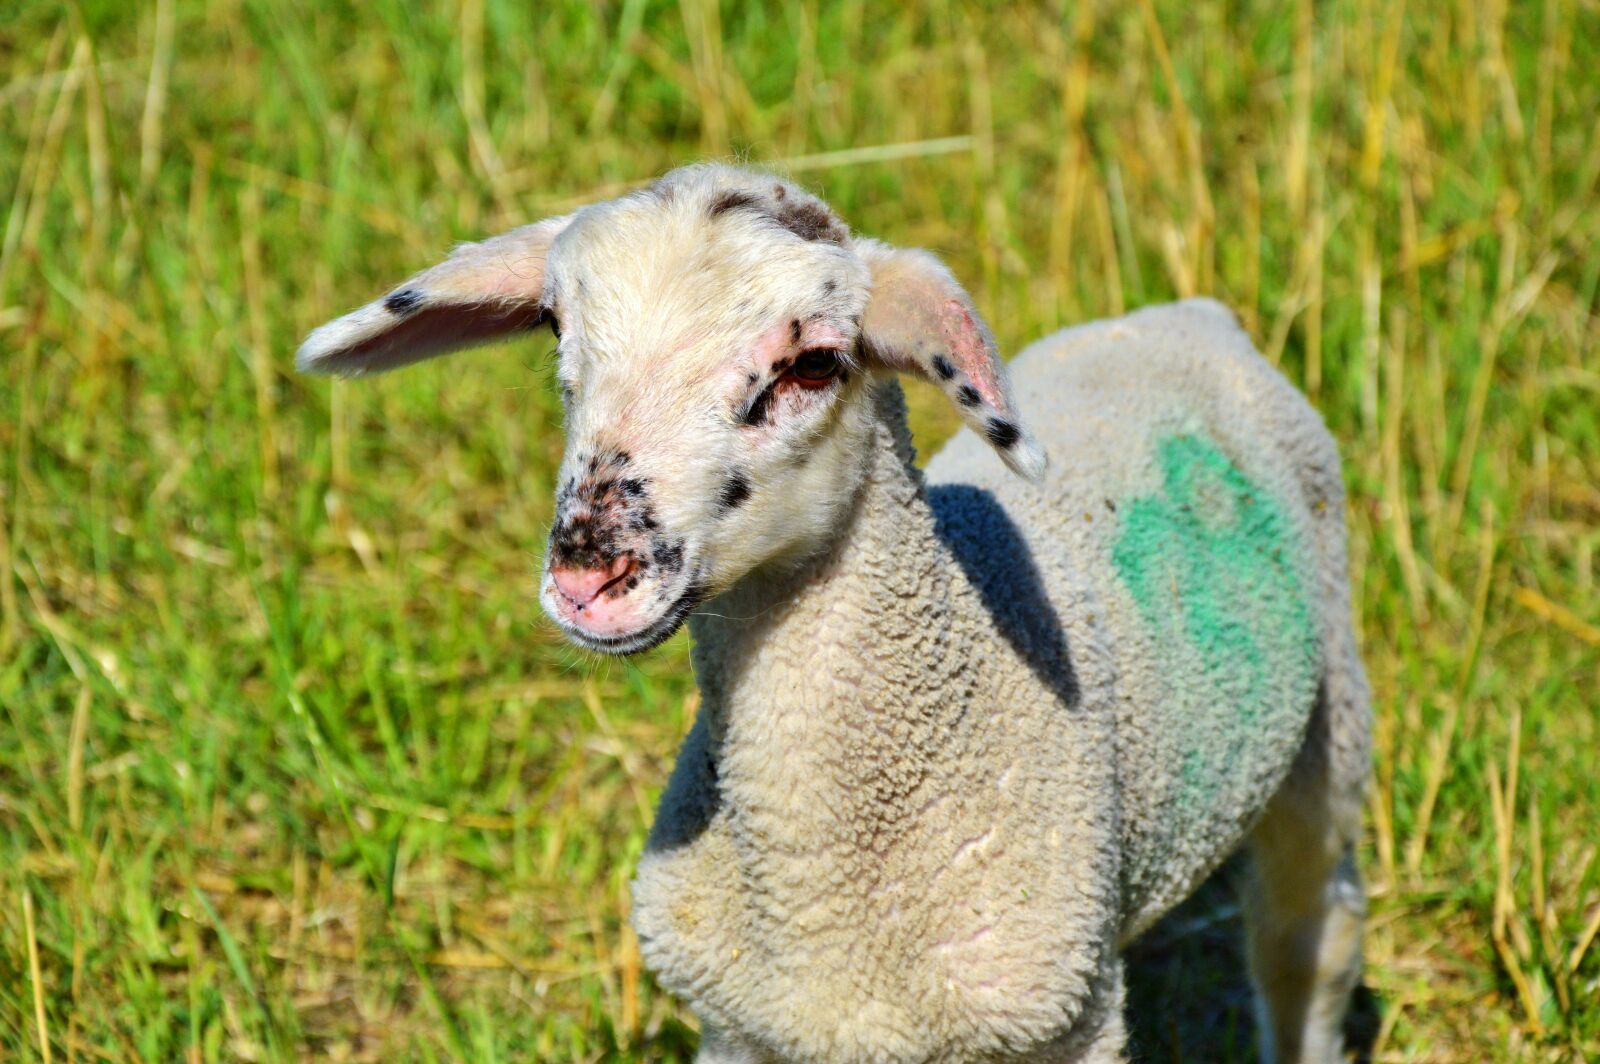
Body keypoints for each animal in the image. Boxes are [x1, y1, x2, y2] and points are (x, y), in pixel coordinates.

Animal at [297, 163, 1371, 1064]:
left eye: (813, 364)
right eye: (559, 331)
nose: (590, 572)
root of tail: (1187, 315)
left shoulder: (1060, 1022)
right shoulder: (743, 1029)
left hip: (1331, 712)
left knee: (1305, 939)